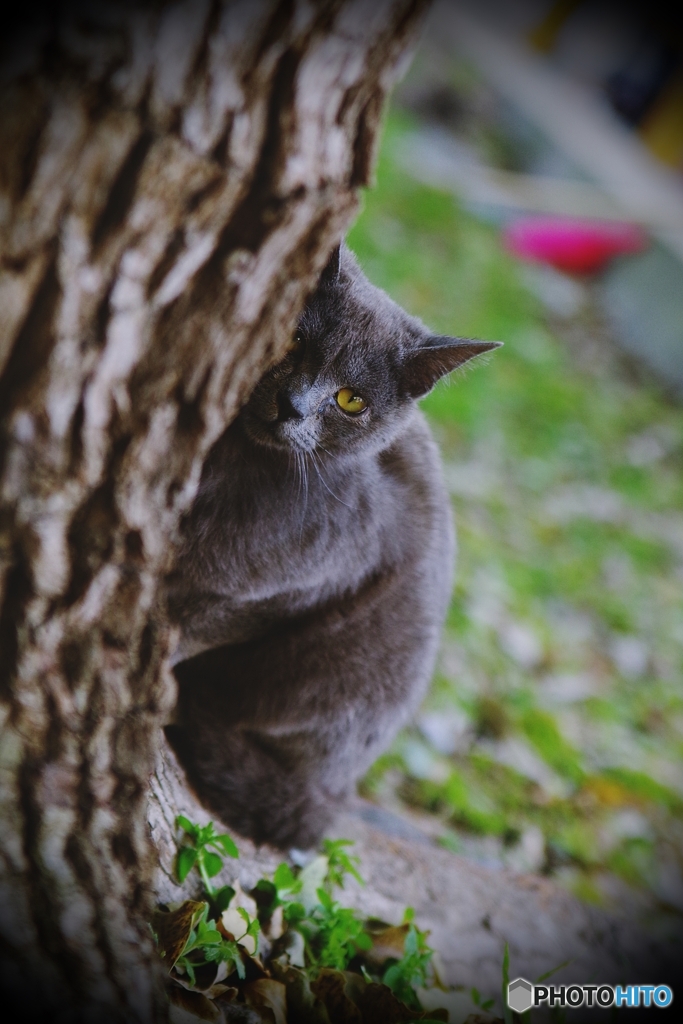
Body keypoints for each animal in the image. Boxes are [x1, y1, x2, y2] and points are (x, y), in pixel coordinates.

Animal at [165, 245, 497, 847]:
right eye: (294, 342)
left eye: (350, 400)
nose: (292, 404)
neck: (237, 464)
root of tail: (338, 794)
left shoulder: (289, 589)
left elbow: (194, 625)